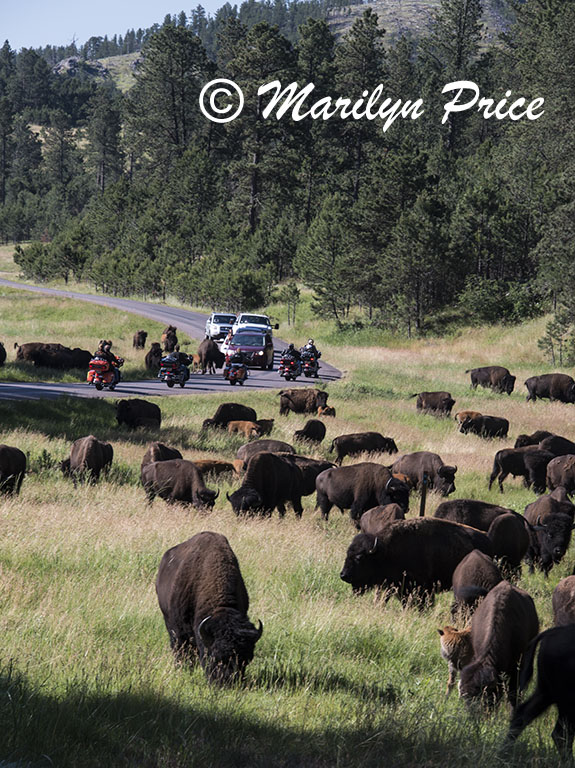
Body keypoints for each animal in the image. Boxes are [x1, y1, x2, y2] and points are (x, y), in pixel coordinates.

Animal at [340, 518, 493, 602]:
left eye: (360, 558)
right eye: (347, 554)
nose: (343, 575)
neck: (386, 551)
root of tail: (487, 539)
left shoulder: (420, 588)